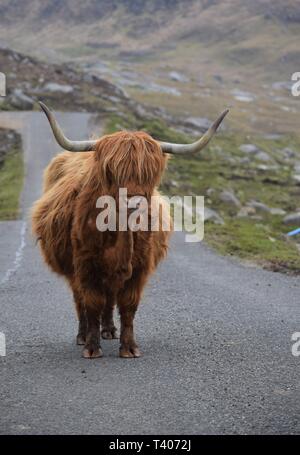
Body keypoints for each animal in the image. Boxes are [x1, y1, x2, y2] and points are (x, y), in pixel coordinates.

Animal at [31, 102, 227, 360]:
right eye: (112, 172)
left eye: (150, 174)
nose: (134, 204)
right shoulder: (85, 264)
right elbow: (92, 302)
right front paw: (91, 347)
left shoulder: (140, 268)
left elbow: (128, 305)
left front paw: (129, 347)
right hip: (73, 270)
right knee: (80, 300)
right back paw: (83, 335)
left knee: (109, 299)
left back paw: (109, 330)